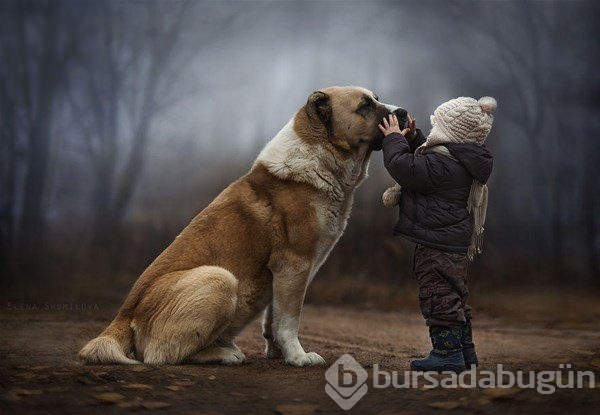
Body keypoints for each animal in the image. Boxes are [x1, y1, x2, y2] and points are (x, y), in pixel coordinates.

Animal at [79, 86, 404, 366]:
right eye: (364, 106)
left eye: (377, 99)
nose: (403, 112)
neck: (320, 157)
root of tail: (123, 316)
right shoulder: (294, 264)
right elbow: (289, 319)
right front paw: (298, 357)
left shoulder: (284, 274)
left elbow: (274, 318)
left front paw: (279, 353)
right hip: (220, 279)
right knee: (162, 355)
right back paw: (225, 353)